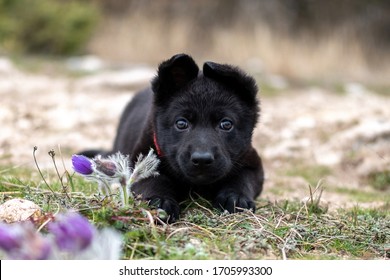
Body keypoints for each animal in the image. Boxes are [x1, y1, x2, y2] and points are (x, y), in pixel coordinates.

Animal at [86, 54, 262, 221]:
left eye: (226, 124)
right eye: (181, 123)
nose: (202, 159)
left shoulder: (252, 163)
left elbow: (242, 179)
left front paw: (236, 198)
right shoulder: (139, 163)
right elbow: (153, 181)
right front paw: (160, 201)